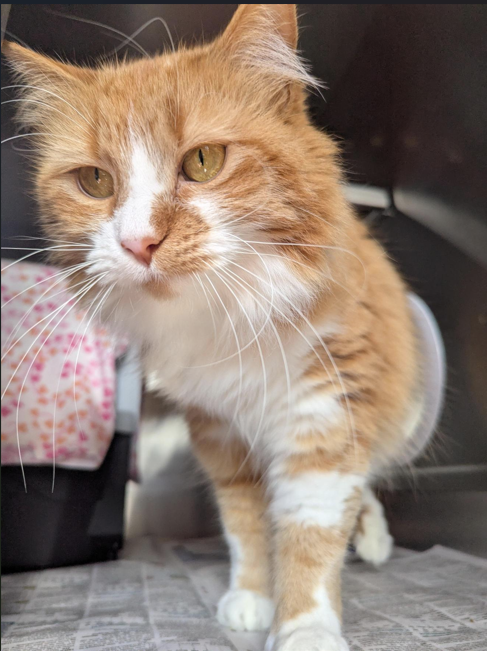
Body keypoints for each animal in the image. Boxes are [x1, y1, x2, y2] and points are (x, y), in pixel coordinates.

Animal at [4, 5, 424, 650]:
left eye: (203, 162)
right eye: (95, 181)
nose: (139, 243)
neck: (229, 322)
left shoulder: (323, 420)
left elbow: (310, 537)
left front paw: (304, 628)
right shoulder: (221, 436)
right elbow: (246, 527)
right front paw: (251, 599)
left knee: (369, 481)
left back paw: (375, 542)